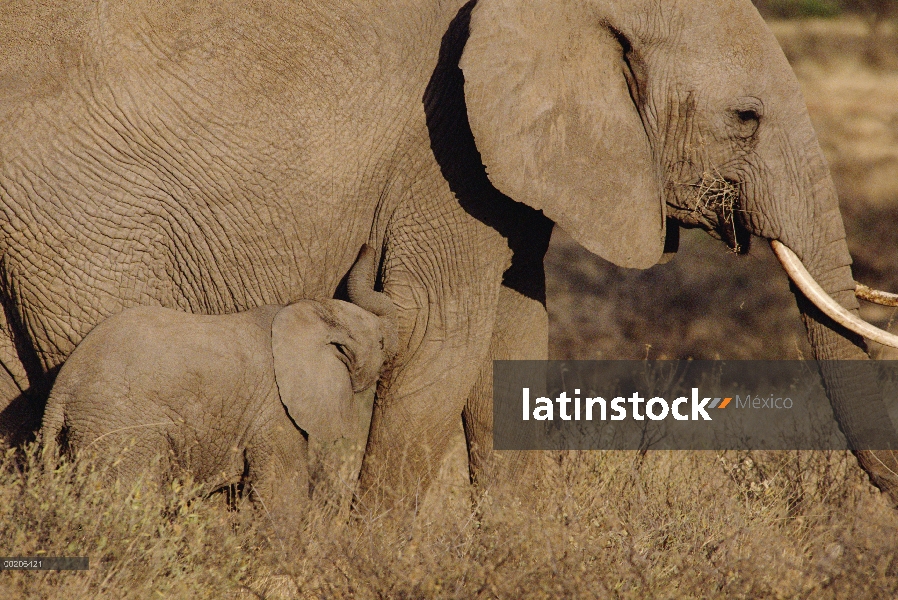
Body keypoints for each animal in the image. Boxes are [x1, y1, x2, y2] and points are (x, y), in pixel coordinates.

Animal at [41, 245, 392, 516]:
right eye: (380, 343)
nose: (367, 246)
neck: (308, 312)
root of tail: (60, 392)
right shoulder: (274, 409)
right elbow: (281, 492)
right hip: (118, 432)